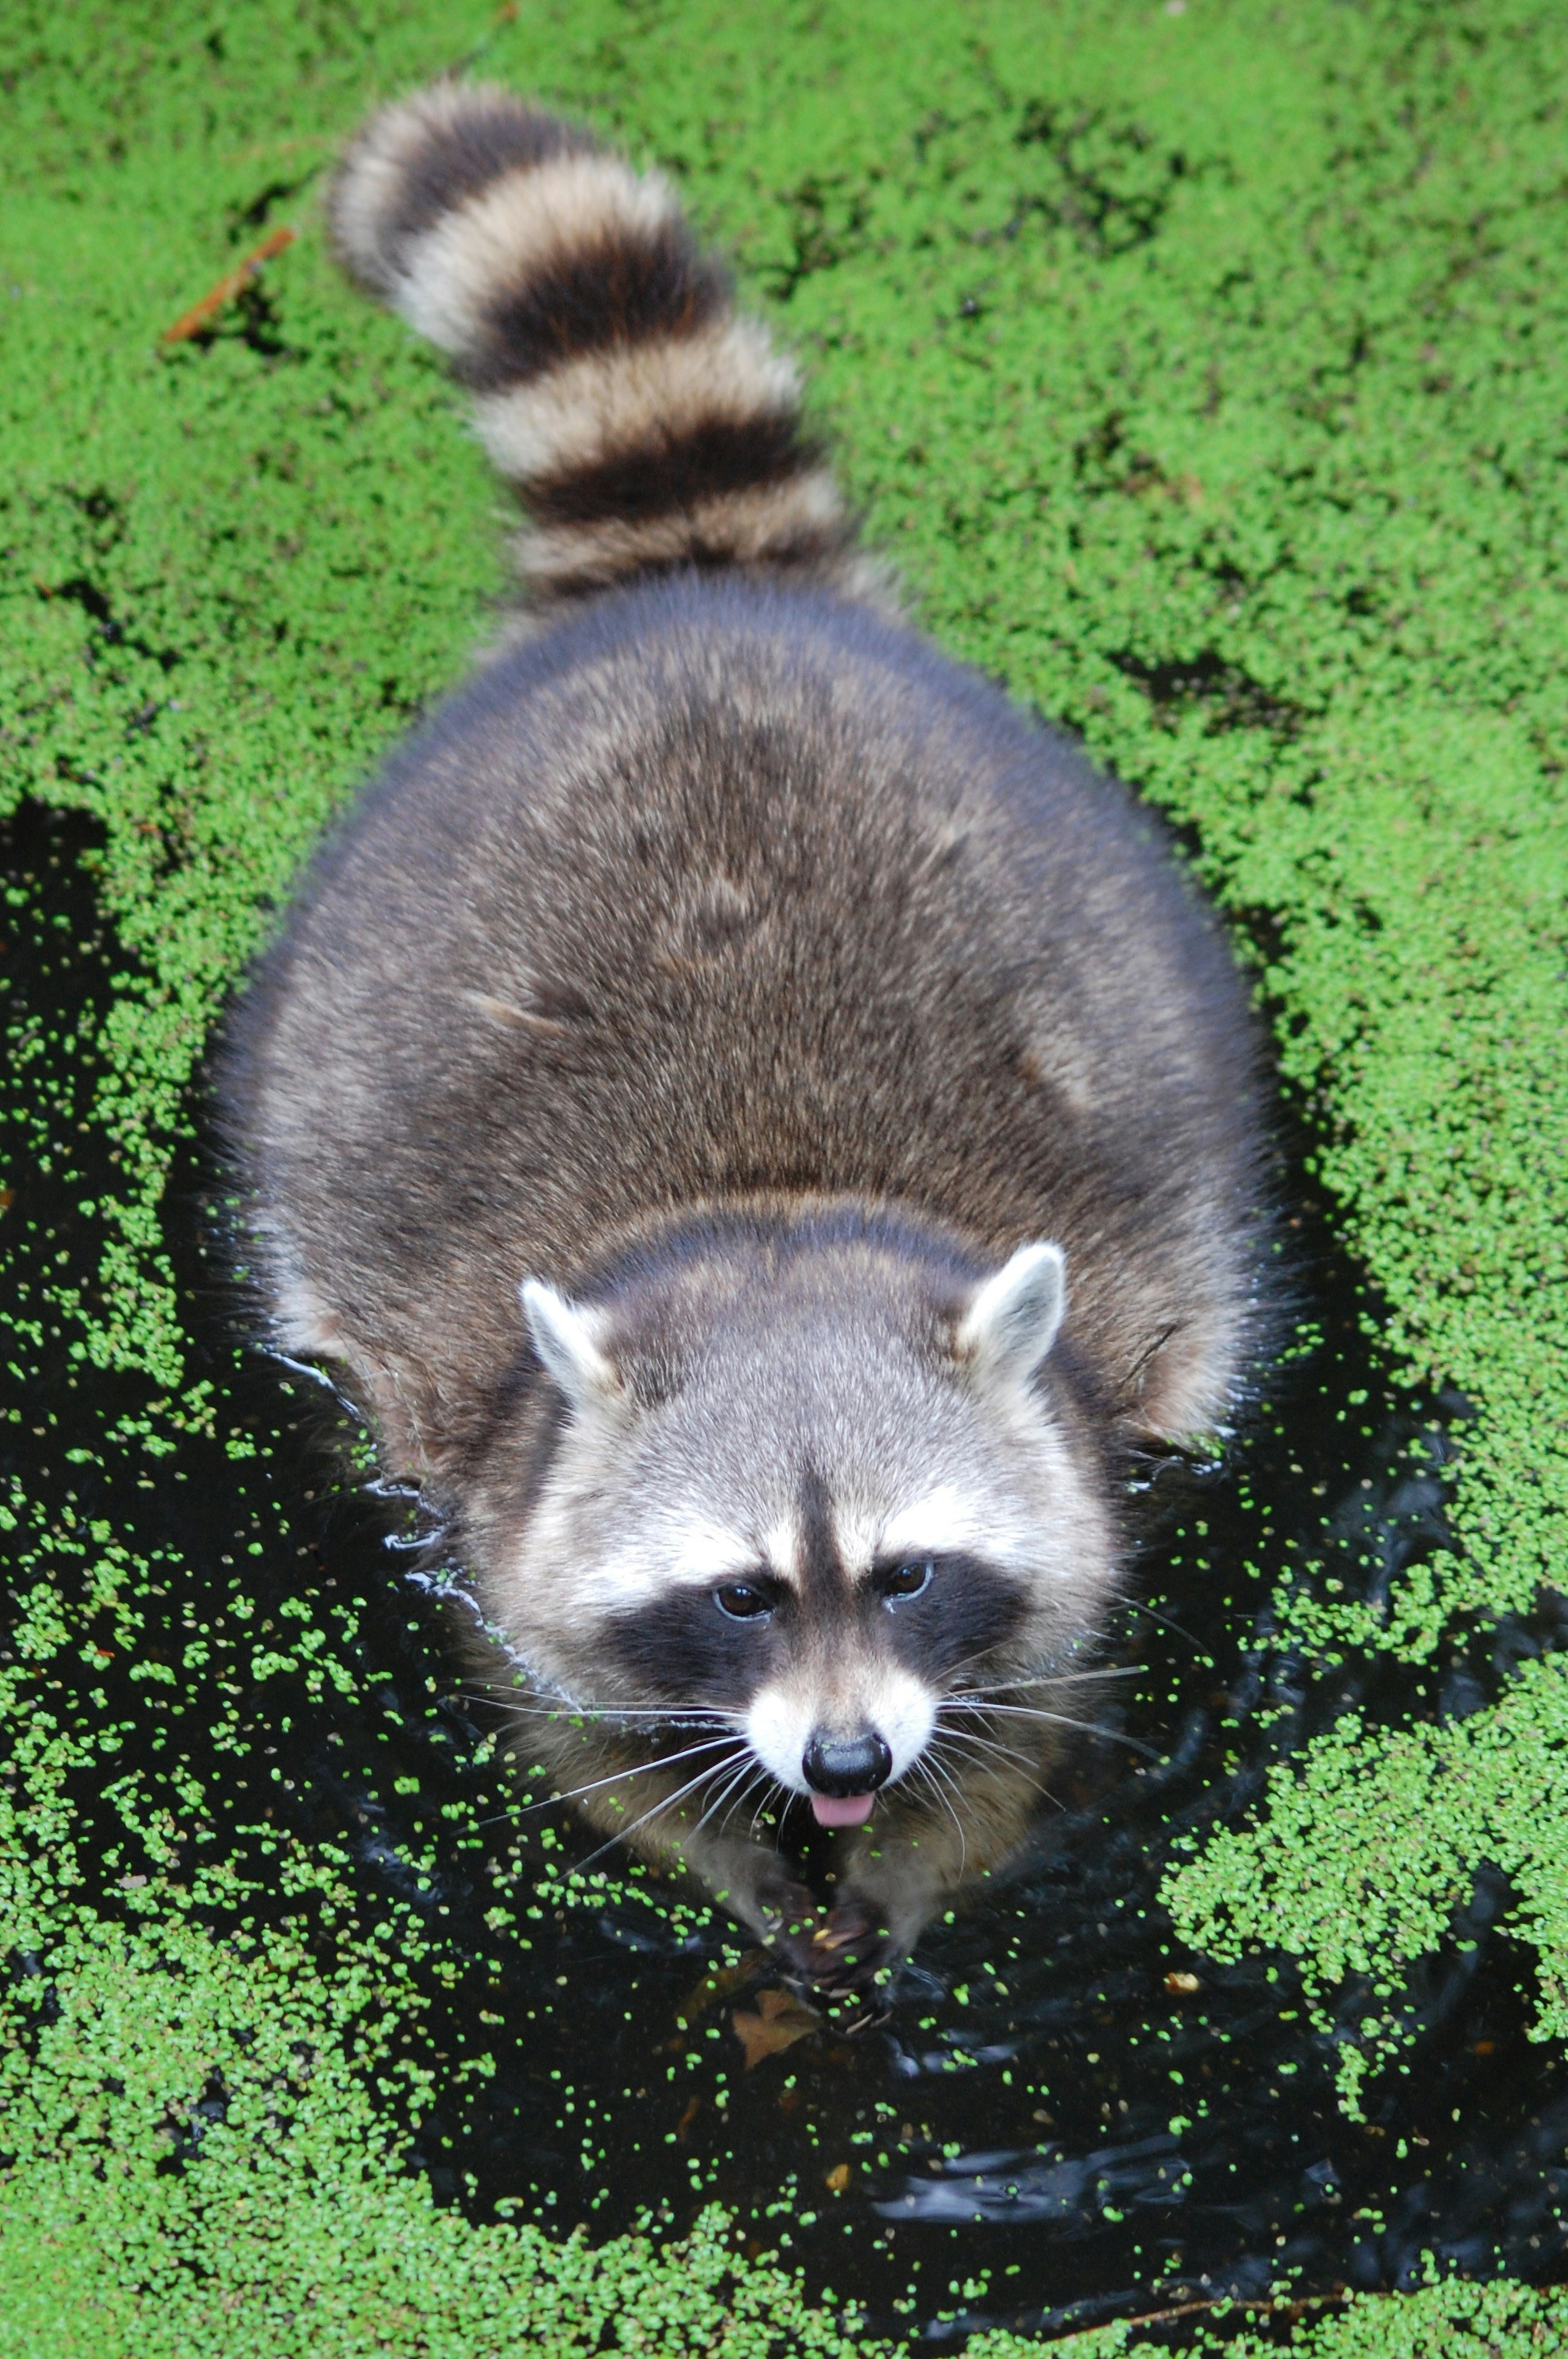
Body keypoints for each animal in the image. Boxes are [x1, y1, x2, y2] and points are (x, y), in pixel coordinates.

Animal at [223, 78, 1273, 1990]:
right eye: (741, 1591)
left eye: (909, 1572)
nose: (846, 1759)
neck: (775, 1214)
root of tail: (707, 592)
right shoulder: (498, 1511)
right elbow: (573, 1732)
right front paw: (724, 1863)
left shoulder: (1077, 1503)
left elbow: (1026, 1720)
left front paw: (919, 1855)